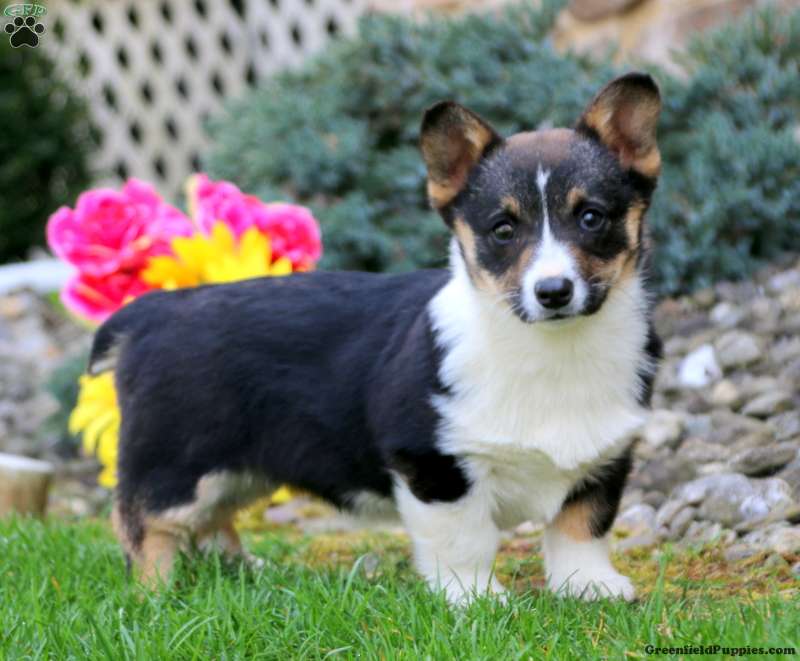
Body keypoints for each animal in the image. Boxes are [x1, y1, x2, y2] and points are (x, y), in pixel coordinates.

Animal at [92, 72, 662, 603]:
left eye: (591, 218)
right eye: (503, 229)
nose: (553, 291)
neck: (553, 348)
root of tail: (155, 311)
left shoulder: (604, 459)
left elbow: (581, 527)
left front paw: (589, 587)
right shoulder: (433, 464)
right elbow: (466, 539)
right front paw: (475, 599)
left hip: (239, 469)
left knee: (211, 519)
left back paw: (243, 571)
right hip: (176, 463)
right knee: (142, 520)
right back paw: (155, 593)